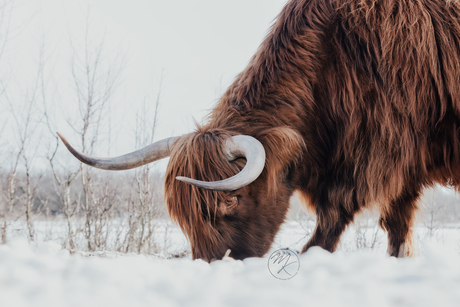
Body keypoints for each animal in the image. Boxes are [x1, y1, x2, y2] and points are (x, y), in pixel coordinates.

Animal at [58, 0, 460, 264]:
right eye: (184, 214)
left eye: (231, 201)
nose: (213, 263)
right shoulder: (404, 168)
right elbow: (397, 223)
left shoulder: (380, 154)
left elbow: (337, 217)